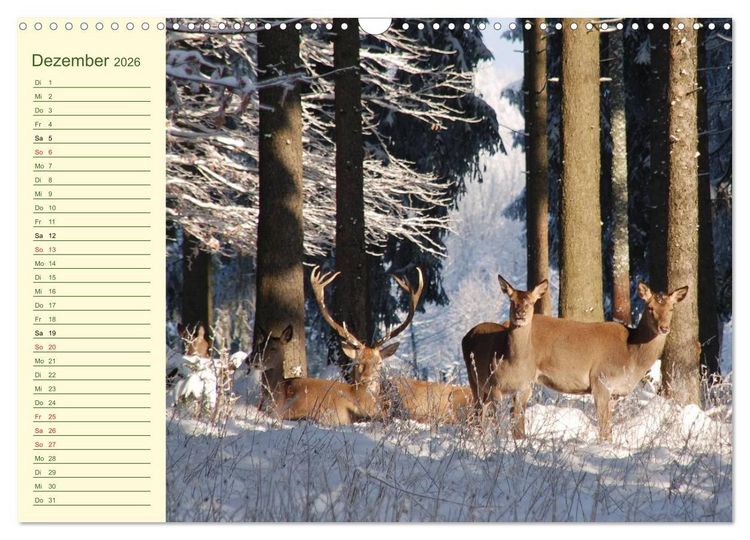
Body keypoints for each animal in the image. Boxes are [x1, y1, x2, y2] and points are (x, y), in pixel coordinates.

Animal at [462, 275, 688, 440]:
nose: (664, 328)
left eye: (671, 308)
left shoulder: (615, 393)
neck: (631, 356)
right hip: (480, 383)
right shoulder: (600, 381)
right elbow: (604, 429)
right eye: (650, 308)